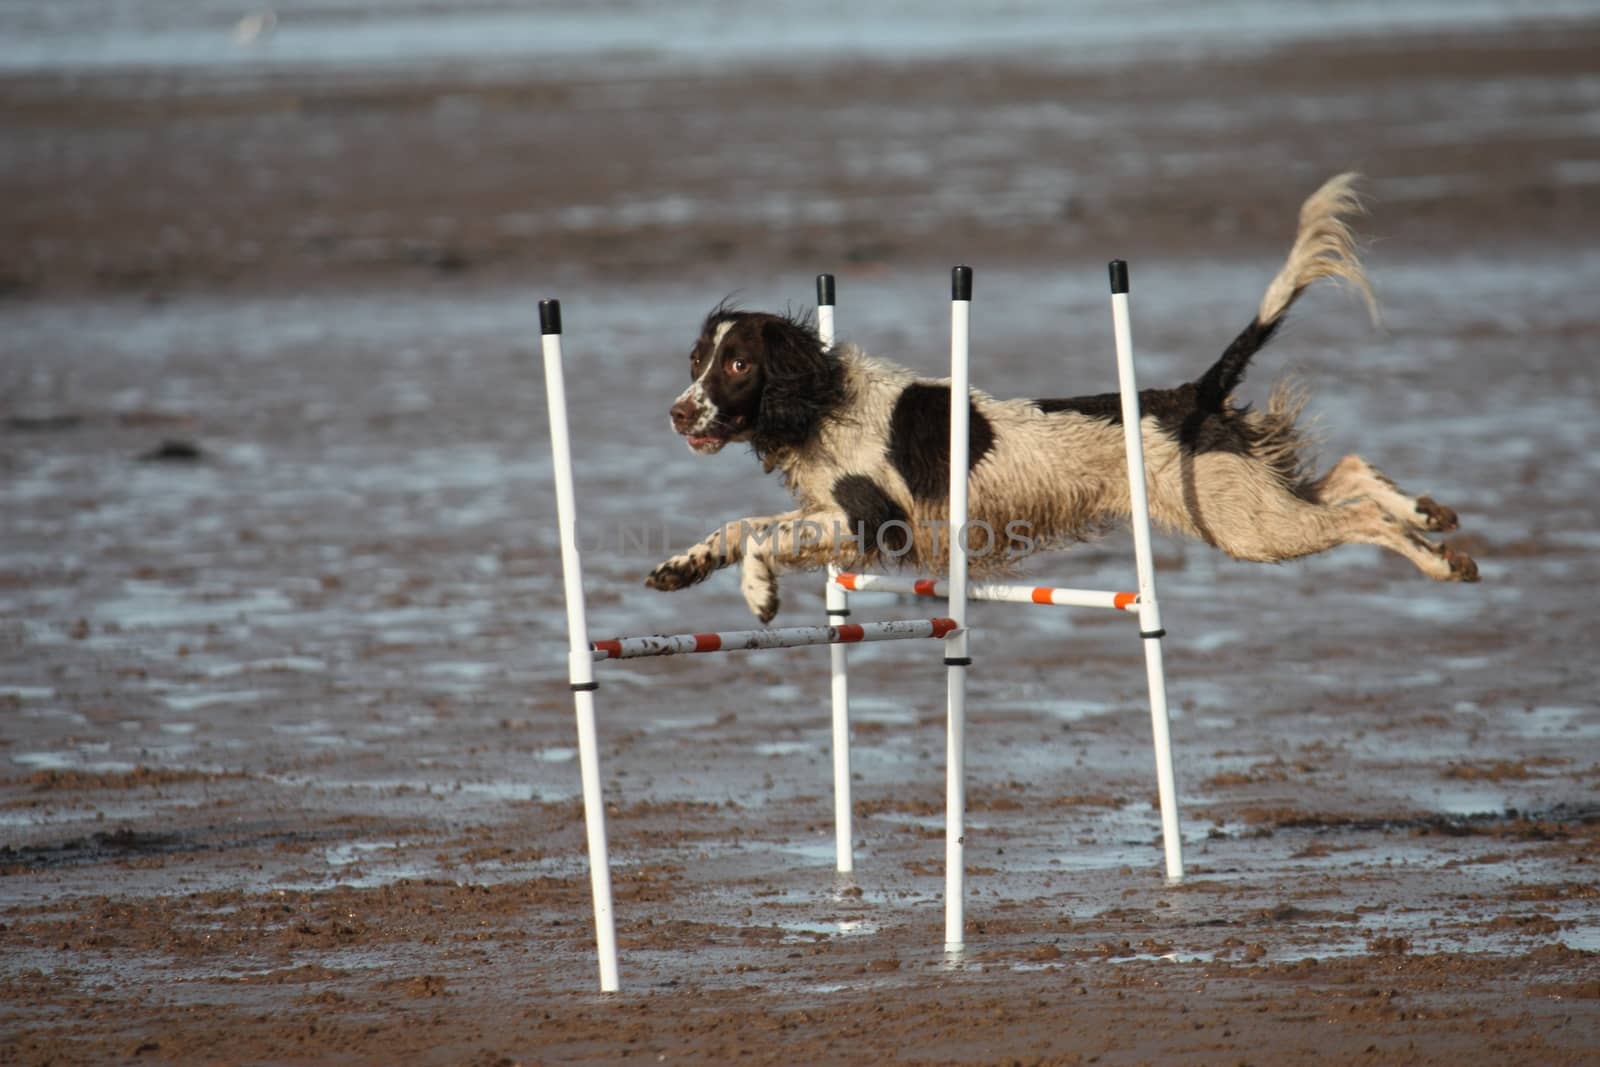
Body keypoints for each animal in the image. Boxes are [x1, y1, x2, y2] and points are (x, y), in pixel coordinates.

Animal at [643, 173, 1478, 627]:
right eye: (696, 360)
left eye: (739, 363)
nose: (678, 412)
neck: (821, 402)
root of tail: (1191, 395)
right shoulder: (833, 521)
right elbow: (738, 525)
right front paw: (682, 566)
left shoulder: (872, 523)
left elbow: (761, 535)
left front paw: (758, 594)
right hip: (1243, 501)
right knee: (1350, 472)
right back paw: (1429, 514)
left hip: (1245, 523)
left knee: (1358, 513)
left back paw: (1439, 562)